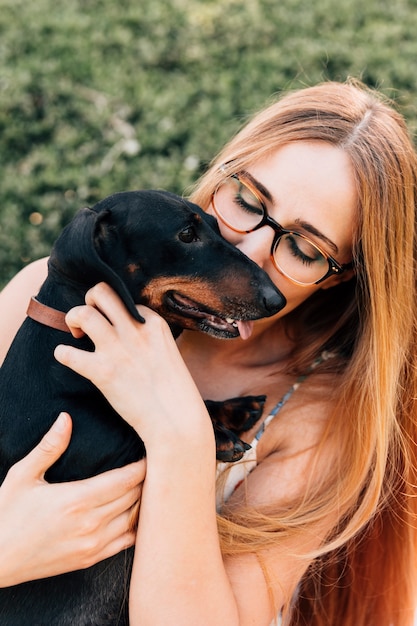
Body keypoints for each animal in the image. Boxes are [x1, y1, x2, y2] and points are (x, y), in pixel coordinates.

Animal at [0, 190, 284, 624]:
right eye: (186, 235)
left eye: (216, 226)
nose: (276, 299)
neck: (76, 337)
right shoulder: (75, 439)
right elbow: (128, 424)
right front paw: (219, 436)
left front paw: (236, 409)